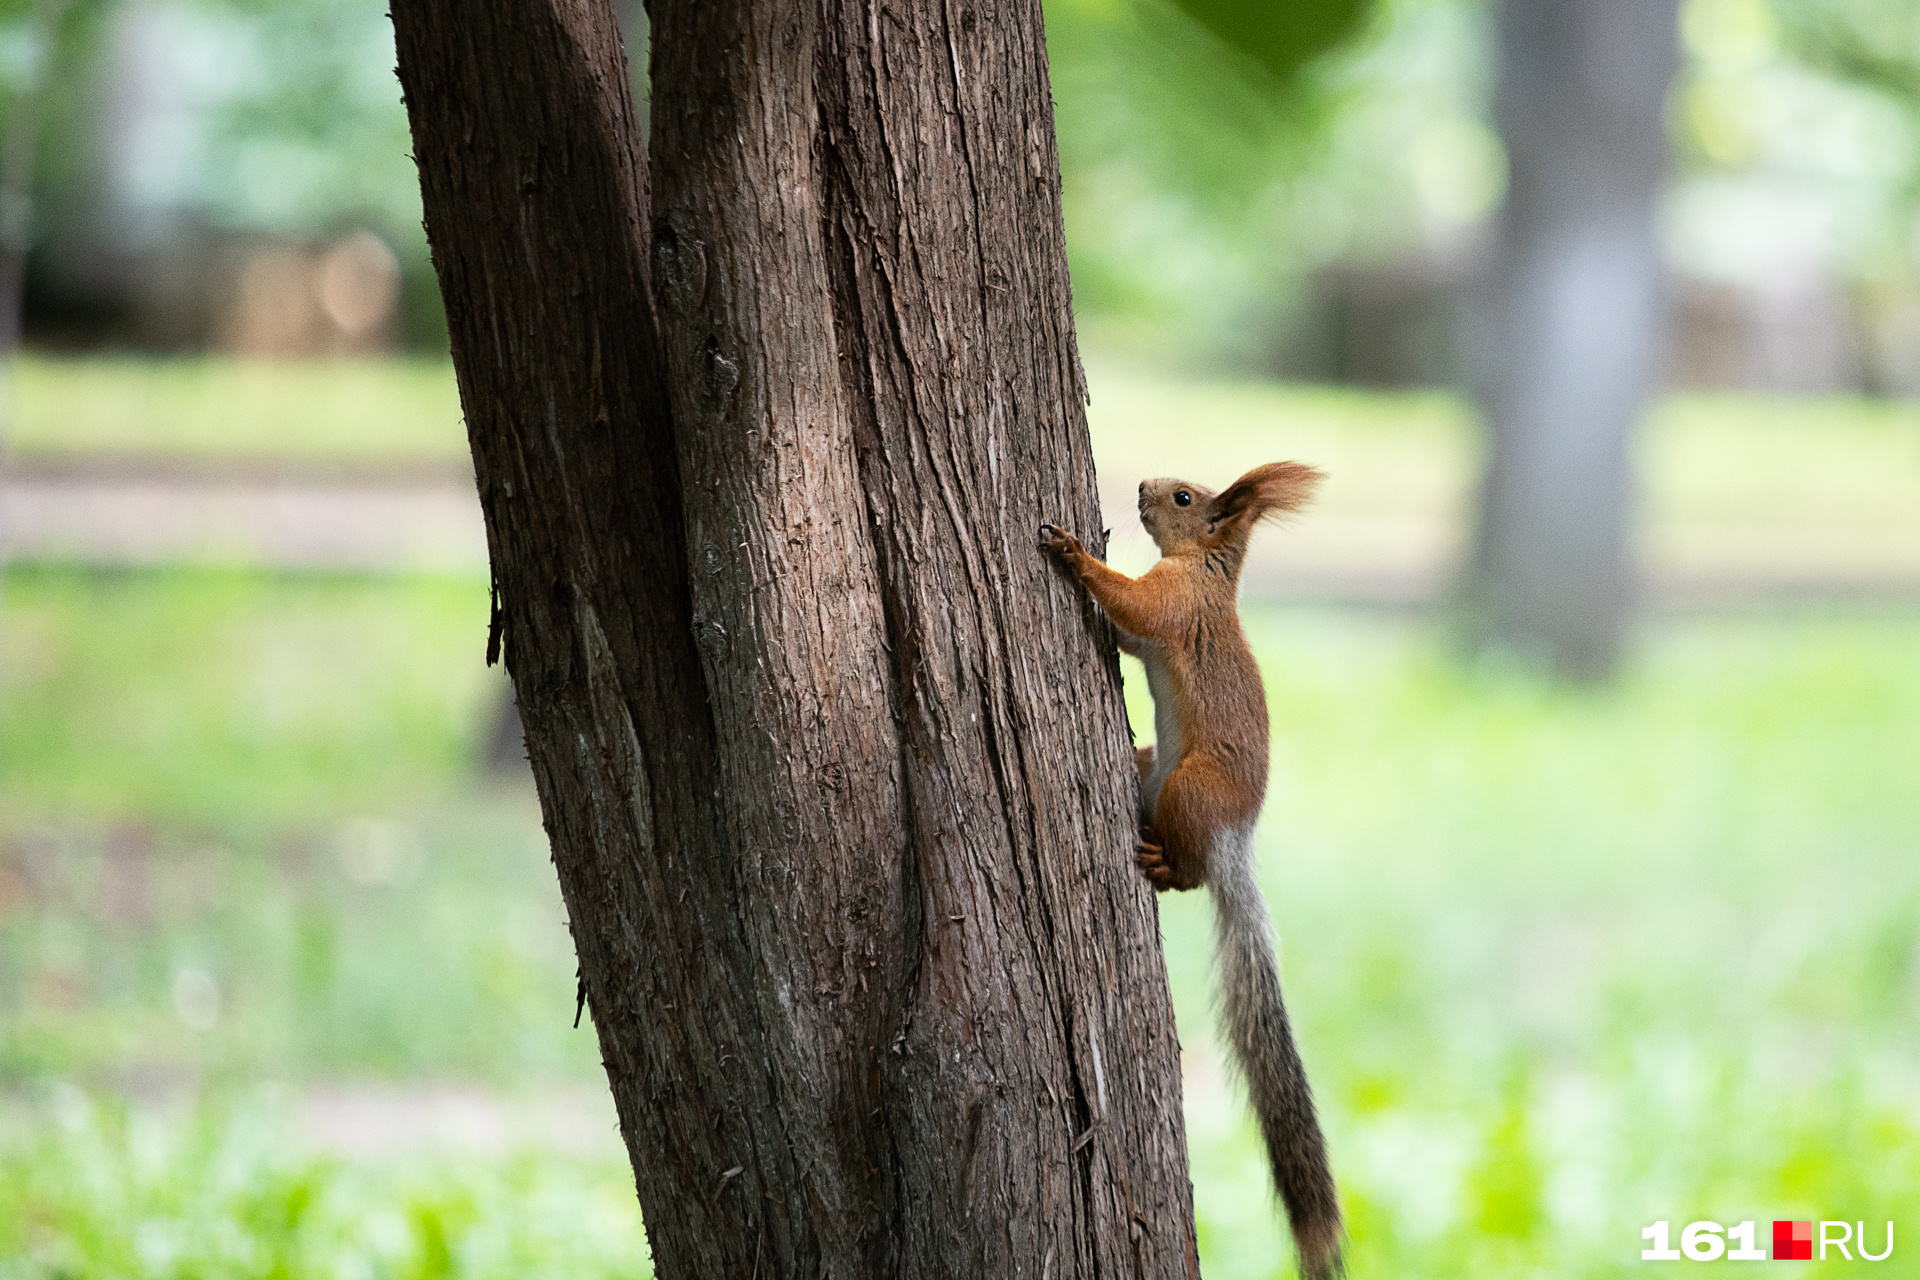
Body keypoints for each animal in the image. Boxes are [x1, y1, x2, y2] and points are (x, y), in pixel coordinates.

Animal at [1044, 460, 1344, 1280]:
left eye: (1183, 497)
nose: (1144, 484)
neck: (1208, 567)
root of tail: (1233, 841)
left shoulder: (1175, 603)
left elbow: (1133, 603)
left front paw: (1075, 553)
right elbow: (1124, 631)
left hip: (1189, 789)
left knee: (1189, 875)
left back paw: (1160, 863)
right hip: (1156, 769)